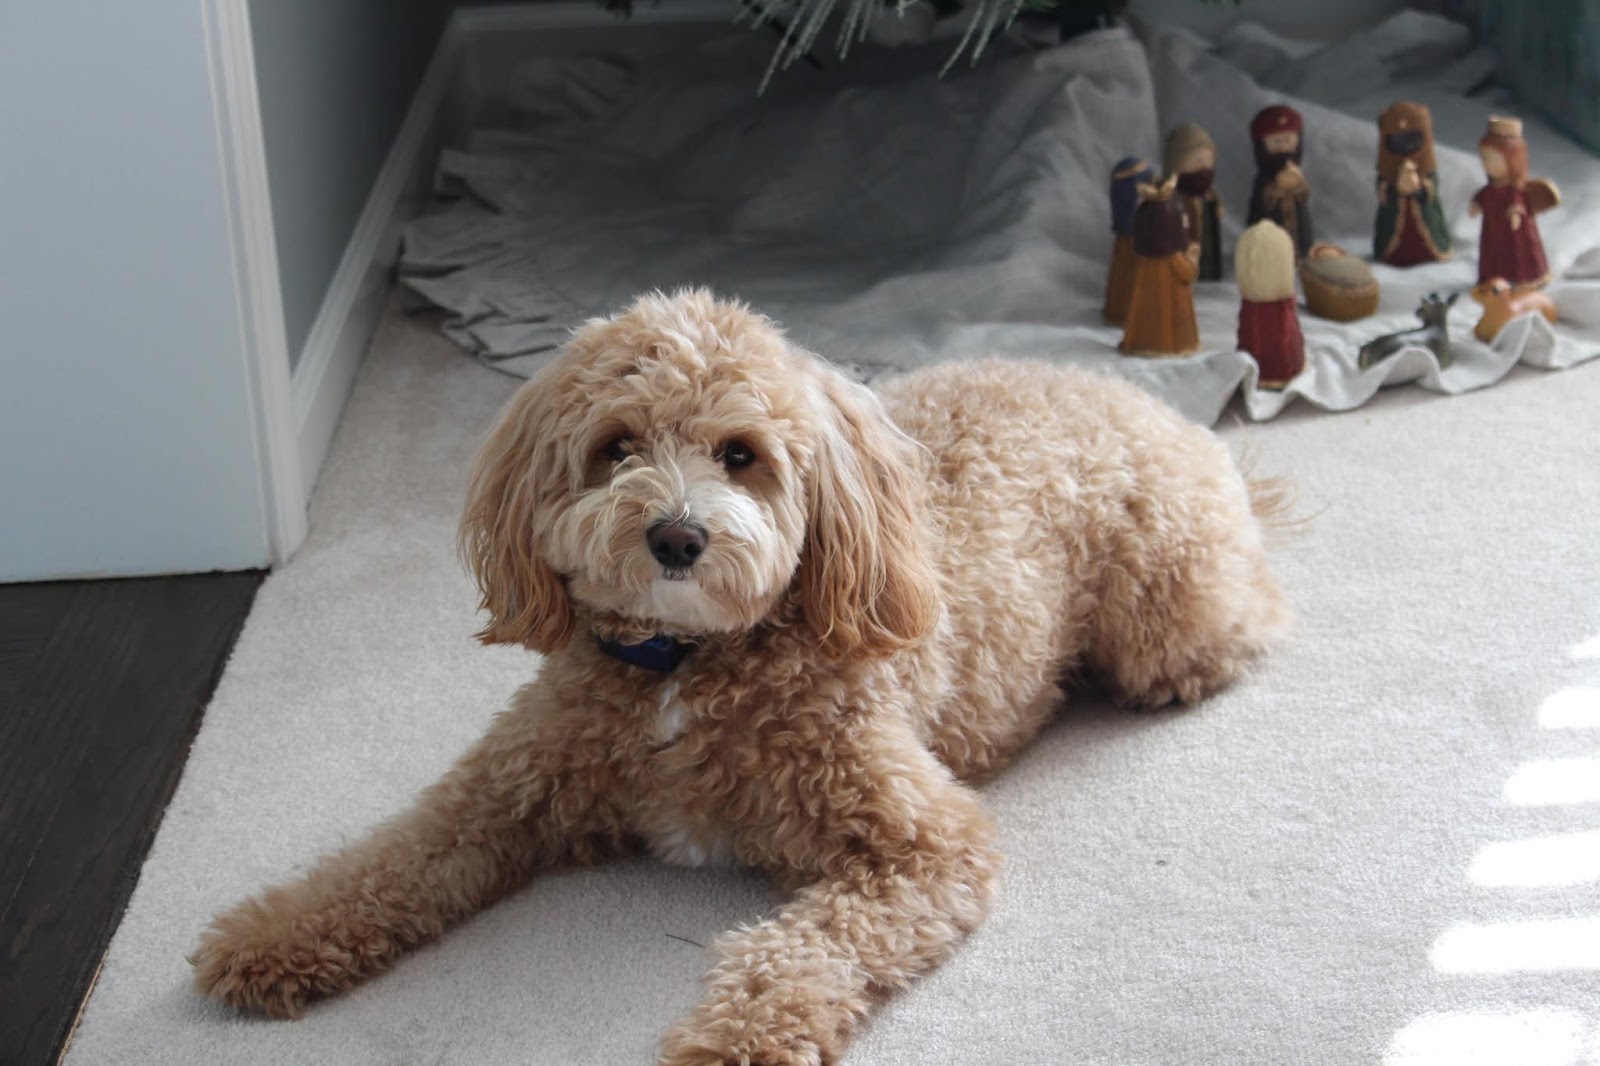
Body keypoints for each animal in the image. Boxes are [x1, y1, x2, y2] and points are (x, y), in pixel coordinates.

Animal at [193, 289, 1288, 1065]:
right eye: (615, 446)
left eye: (741, 453)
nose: (677, 536)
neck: (689, 661)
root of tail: (1142, 400)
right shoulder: (500, 791)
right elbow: (388, 858)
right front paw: (270, 935)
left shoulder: (920, 848)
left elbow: (800, 949)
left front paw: (737, 1039)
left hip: (1164, 620)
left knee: (1243, 620)